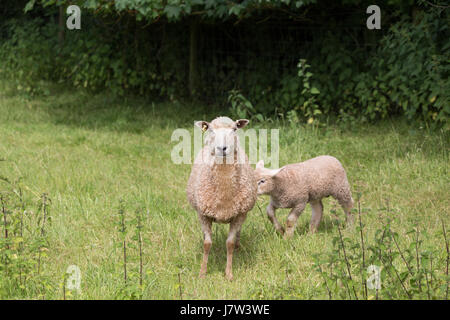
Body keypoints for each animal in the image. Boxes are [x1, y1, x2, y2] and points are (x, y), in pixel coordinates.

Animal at [186, 117, 256, 280]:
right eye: (211, 130)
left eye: (235, 129)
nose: (222, 148)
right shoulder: (203, 214)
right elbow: (207, 244)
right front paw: (202, 272)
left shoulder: (239, 214)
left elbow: (229, 243)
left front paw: (229, 273)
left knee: (238, 234)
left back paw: (238, 245)